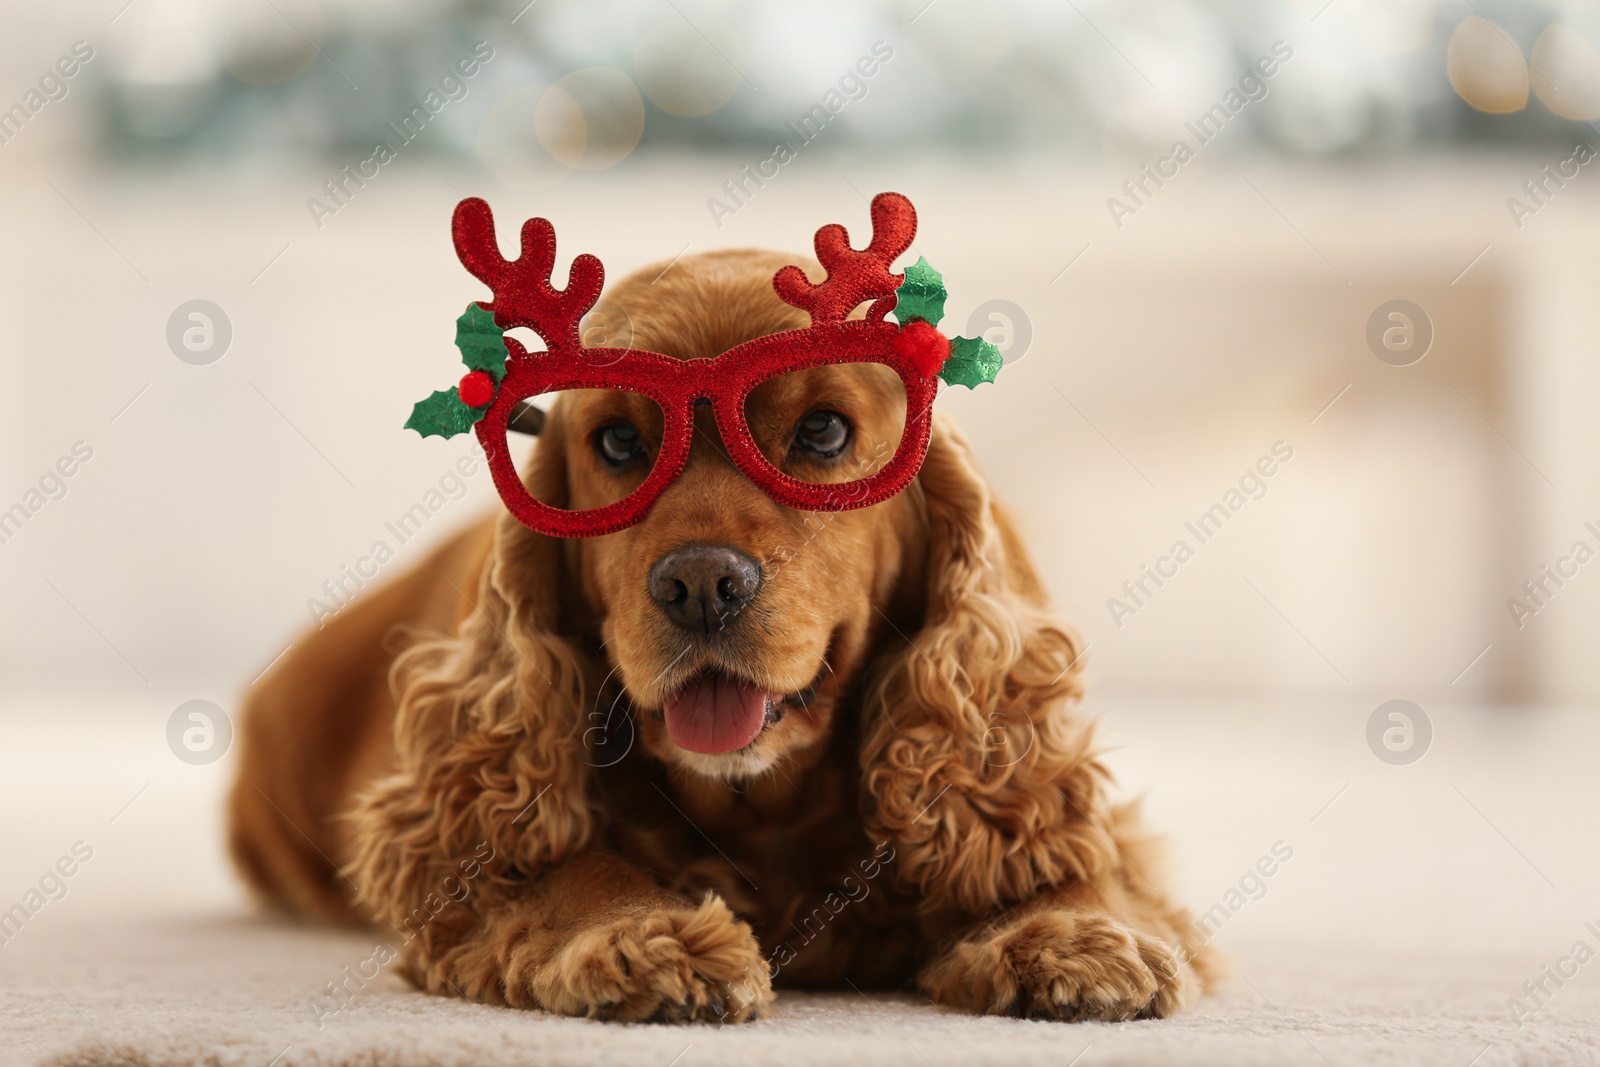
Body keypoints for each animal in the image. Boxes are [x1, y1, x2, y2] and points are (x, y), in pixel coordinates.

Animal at [225, 199, 1216, 1023]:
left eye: (823, 431)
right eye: (619, 443)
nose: (700, 584)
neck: (763, 805)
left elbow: (1072, 851)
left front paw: (1076, 933)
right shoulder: (458, 833)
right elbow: (558, 863)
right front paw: (637, 934)